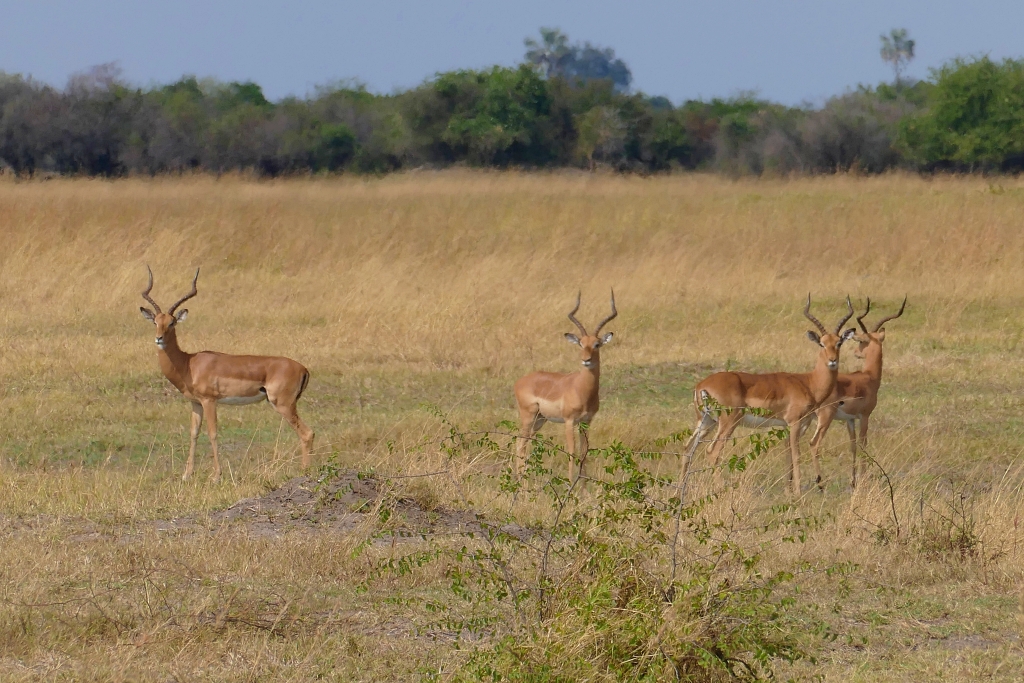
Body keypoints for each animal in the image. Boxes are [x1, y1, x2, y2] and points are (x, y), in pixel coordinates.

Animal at [139, 267, 314, 481]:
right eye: (156, 321)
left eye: (172, 323)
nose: (159, 339)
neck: (188, 364)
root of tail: (303, 368)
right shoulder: (195, 403)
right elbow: (194, 433)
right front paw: (187, 475)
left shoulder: (209, 401)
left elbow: (213, 433)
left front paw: (216, 476)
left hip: (283, 404)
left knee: (307, 433)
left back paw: (305, 471)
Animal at [514, 291, 617, 482]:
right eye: (581, 343)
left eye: (597, 344)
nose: (586, 360)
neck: (581, 389)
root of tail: (521, 380)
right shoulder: (569, 422)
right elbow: (571, 452)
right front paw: (570, 484)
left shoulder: (586, 422)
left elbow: (584, 453)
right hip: (529, 416)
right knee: (520, 442)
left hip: (540, 419)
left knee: (524, 442)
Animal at [685, 295, 855, 496]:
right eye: (821, 343)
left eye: (839, 343)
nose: (832, 361)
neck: (809, 382)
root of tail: (702, 385)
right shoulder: (795, 423)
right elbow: (796, 455)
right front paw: (798, 492)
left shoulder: (792, 427)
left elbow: (788, 457)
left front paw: (789, 491)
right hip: (728, 422)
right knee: (712, 452)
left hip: (706, 422)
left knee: (687, 449)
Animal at [807, 297, 906, 488]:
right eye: (860, 341)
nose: (856, 352)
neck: (869, 377)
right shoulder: (865, 416)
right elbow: (862, 444)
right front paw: (863, 478)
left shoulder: (850, 419)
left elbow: (852, 445)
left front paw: (853, 480)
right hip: (824, 418)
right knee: (813, 443)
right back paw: (819, 482)